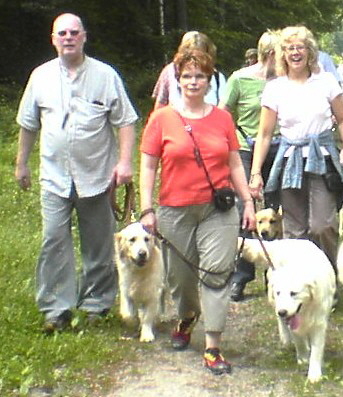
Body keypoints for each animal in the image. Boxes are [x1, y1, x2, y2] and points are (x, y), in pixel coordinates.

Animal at [238, 237, 338, 382]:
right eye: (279, 292)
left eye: (293, 293)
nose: (283, 312)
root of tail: (283, 242)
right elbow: (299, 340)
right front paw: (303, 357)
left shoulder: (319, 321)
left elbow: (316, 349)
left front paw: (314, 374)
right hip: (274, 300)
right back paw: (285, 337)